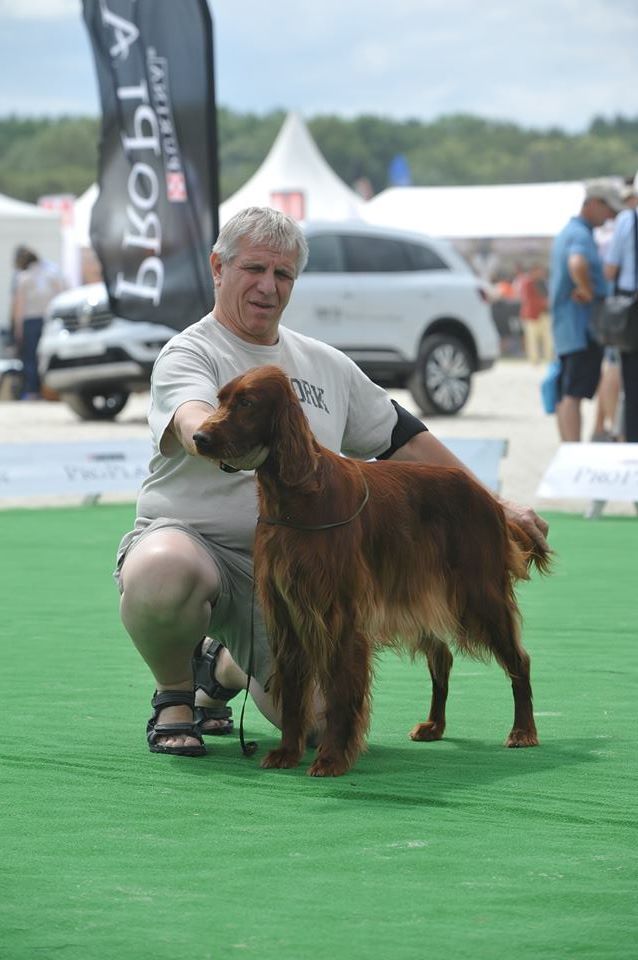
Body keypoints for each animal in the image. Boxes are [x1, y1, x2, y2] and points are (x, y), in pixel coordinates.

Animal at [194, 364, 552, 776]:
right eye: (220, 399)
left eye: (247, 403)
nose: (198, 437)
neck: (296, 497)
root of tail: (489, 497)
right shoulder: (288, 612)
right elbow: (295, 692)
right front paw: (287, 752)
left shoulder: (339, 614)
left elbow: (339, 693)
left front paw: (332, 757)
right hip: (414, 593)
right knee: (442, 657)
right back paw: (435, 726)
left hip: (479, 594)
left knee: (519, 660)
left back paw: (523, 731)